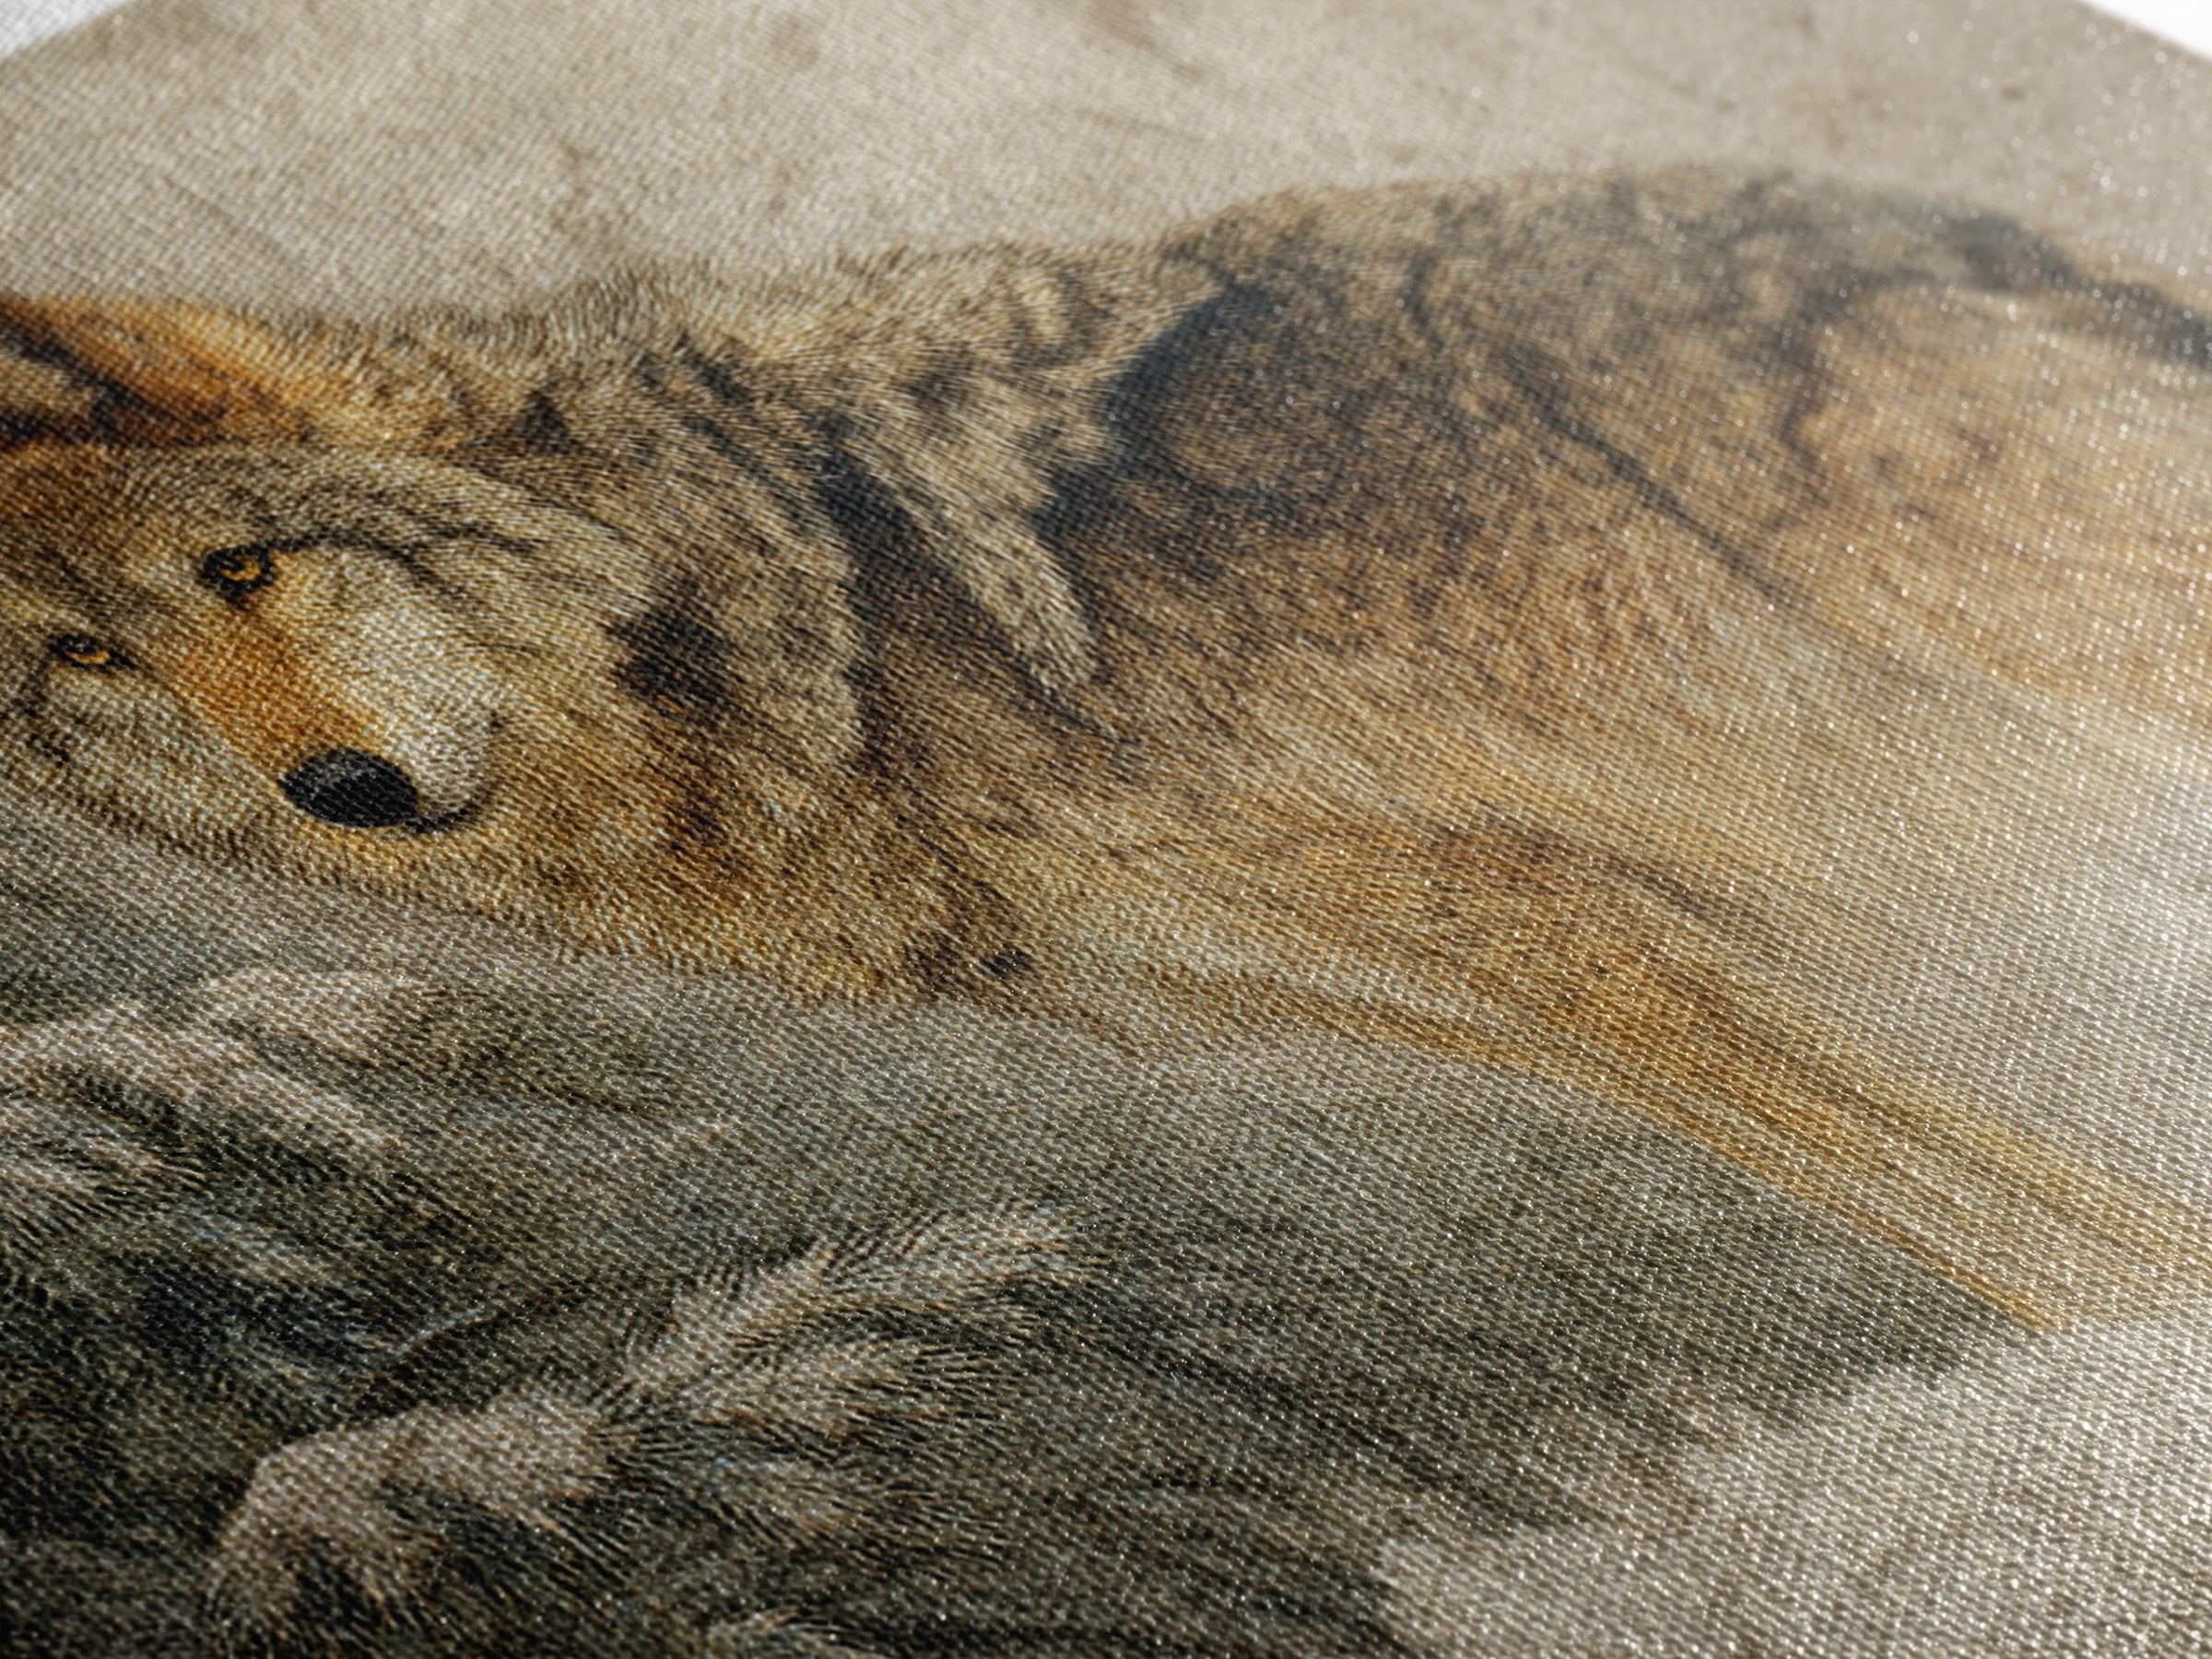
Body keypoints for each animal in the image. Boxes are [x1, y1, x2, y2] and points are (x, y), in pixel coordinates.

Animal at [1, 169, 2209, 1326]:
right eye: (85, 658)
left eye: (243, 566)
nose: (337, 795)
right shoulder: (1482, 985)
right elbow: (1969, 1214)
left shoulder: (1554, 935)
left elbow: (1991, 1196)